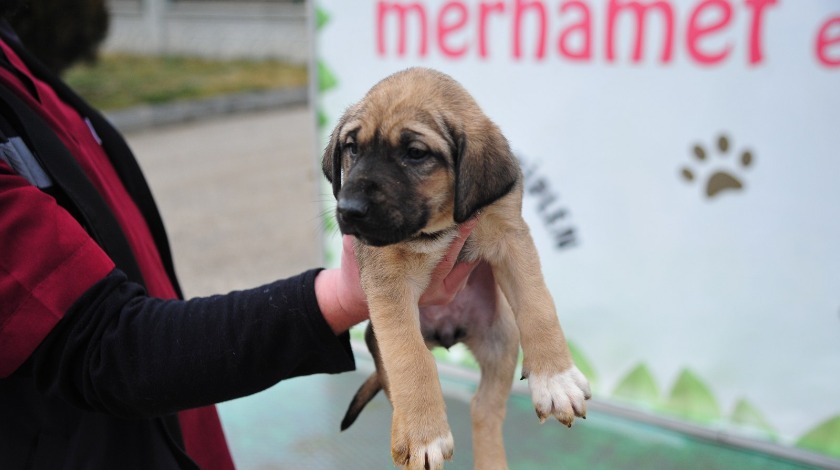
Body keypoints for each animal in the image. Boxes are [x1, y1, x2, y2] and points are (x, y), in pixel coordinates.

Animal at [322, 67, 592, 470]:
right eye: (352, 148)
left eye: (415, 153)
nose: (348, 210)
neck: (438, 225)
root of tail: (446, 332)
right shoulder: (387, 278)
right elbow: (410, 356)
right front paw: (424, 435)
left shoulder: (511, 237)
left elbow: (537, 304)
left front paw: (556, 379)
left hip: (502, 339)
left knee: (484, 409)